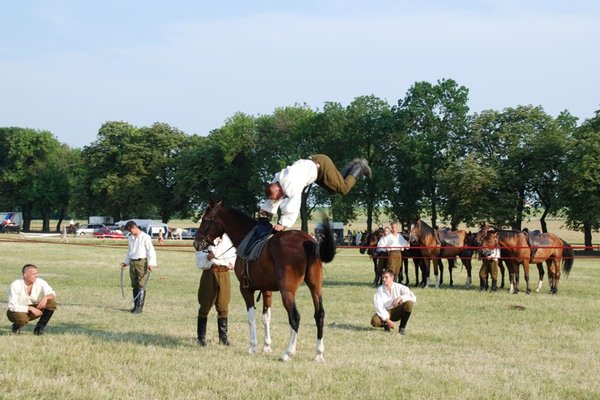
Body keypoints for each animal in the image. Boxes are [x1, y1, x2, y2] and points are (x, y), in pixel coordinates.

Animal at [193, 200, 338, 362]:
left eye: (205, 219)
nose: (196, 242)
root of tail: (309, 242)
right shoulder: (267, 289)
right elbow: (266, 317)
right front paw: (267, 346)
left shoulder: (246, 289)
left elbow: (251, 317)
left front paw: (252, 346)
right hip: (316, 288)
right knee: (319, 315)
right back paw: (319, 353)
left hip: (287, 292)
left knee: (295, 317)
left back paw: (288, 352)